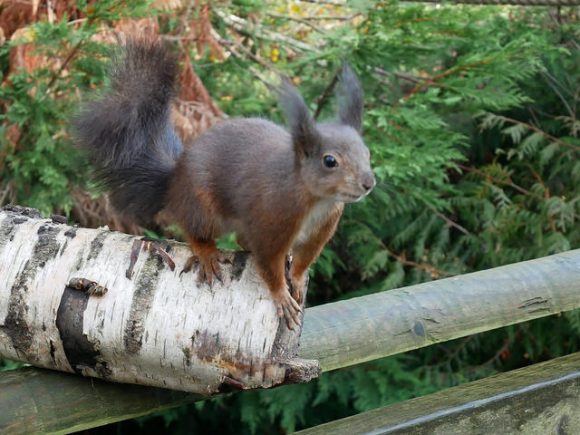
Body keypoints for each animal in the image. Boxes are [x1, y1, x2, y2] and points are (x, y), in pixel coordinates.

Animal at [73, 39, 376, 330]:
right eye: (329, 161)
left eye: (367, 152)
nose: (368, 183)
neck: (315, 200)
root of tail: (174, 182)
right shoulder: (271, 224)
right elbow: (270, 266)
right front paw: (281, 295)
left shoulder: (320, 231)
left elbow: (304, 260)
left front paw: (298, 280)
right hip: (203, 209)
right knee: (194, 230)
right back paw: (207, 253)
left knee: (241, 240)